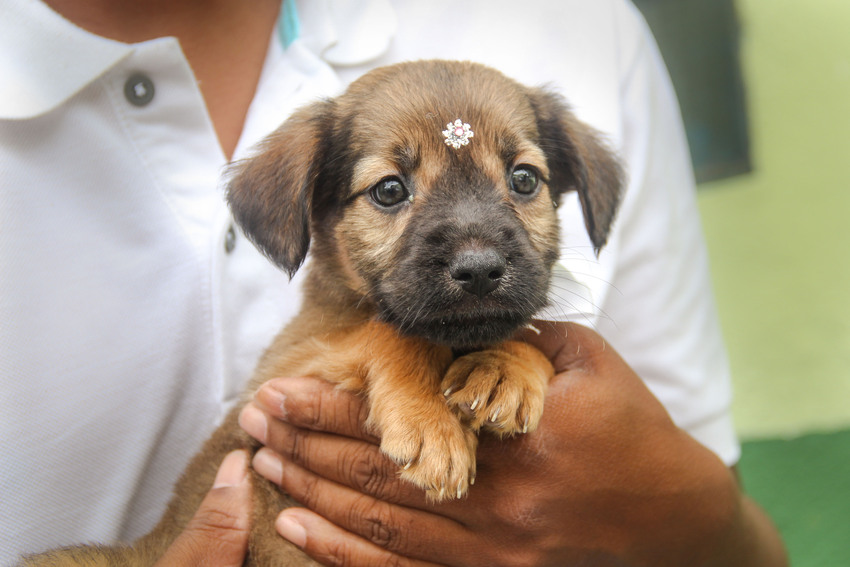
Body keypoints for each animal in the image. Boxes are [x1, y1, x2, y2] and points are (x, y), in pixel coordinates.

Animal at [24, 60, 624, 564]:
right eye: (389, 190)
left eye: (524, 179)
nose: (479, 270)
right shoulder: (276, 384)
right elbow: (391, 333)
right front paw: (431, 423)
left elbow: (530, 335)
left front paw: (506, 369)